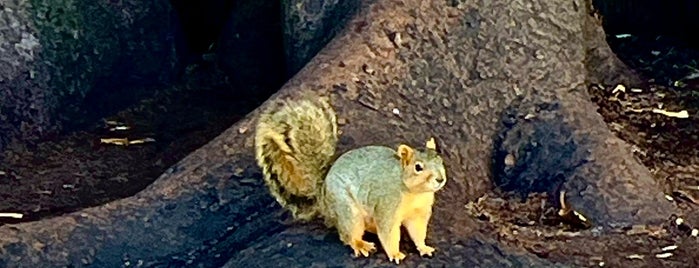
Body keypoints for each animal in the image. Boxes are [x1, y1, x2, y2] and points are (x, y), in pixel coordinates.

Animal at [253, 96, 448, 264]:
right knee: (348, 234)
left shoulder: (419, 213)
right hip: (347, 210)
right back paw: (360, 244)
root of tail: (322, 194)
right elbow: (388, 233)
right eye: (418, 167)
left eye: (440, 160)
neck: (414, 192)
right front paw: (395, 253)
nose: (440, 179)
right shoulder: (386, 205)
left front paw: (424, 247)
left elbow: (418, 231)